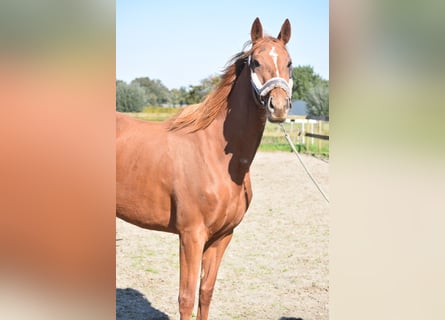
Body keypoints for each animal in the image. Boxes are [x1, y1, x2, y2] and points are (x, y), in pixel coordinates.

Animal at [116, 18, 294, 320]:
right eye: (256, 62)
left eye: (289, 63)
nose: (278, 106)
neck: (215, 158)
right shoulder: (191, 236)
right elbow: (186, 297)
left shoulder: (222, 237)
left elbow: (205, 293)